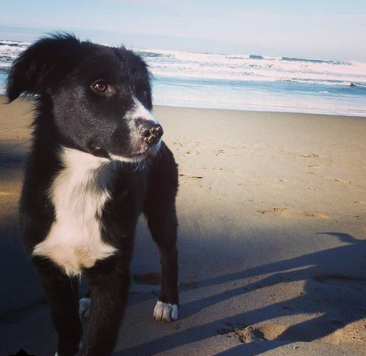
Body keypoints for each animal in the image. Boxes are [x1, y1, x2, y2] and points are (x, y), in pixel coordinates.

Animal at [6, 34, 179, 356]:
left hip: (162, 206)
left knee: (168, 253)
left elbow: (100, 337)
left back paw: (168, 301)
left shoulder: (115, 272)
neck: (83, 180)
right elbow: (67, 326)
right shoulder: (49, 268)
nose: (155, 133)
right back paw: (86, 299)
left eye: (143, 91)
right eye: (100, 86)